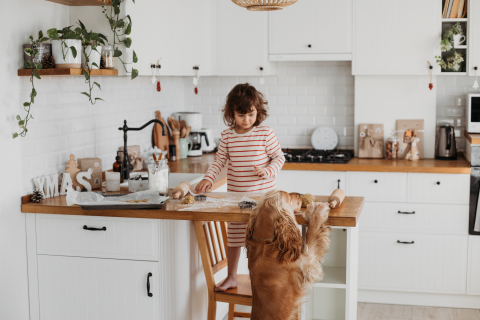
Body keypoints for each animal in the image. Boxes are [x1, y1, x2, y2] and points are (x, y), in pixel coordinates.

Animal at [248, 190, 330, 320]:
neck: (265, 242)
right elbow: (312, 234)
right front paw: (316, 211)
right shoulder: (307, 264)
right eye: (288, 196)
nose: (300, 194)